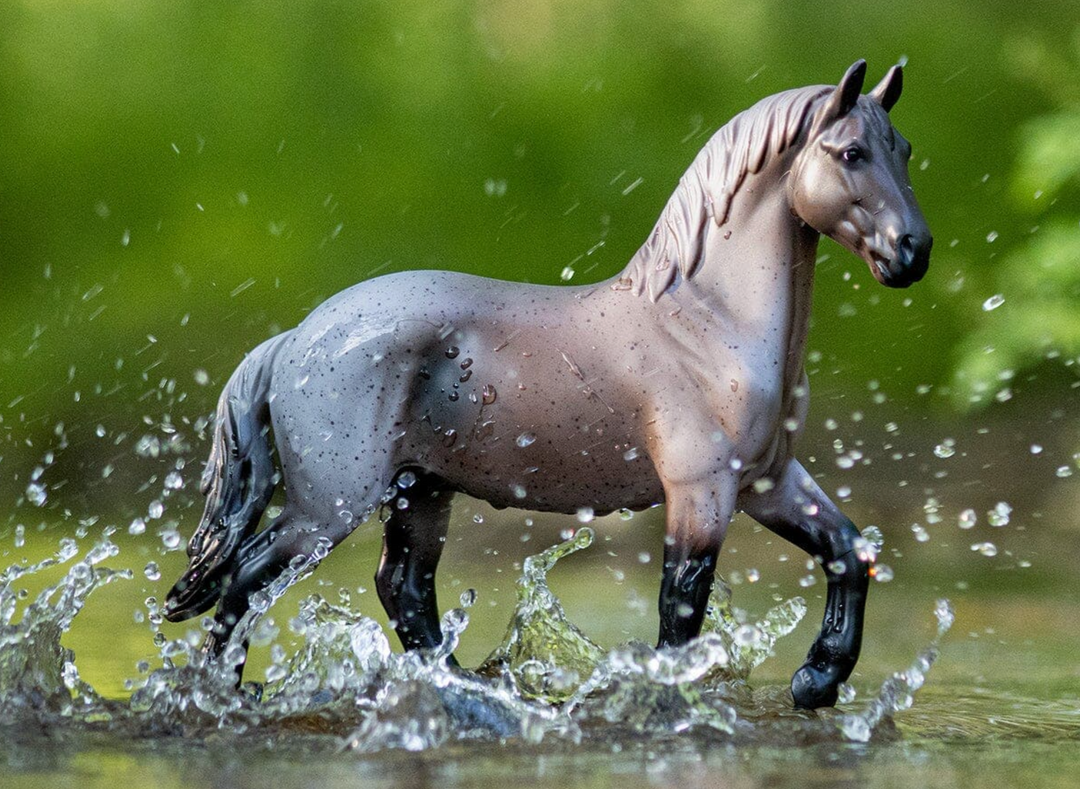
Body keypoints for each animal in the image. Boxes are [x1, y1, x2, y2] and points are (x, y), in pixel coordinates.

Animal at [166, 63, 928, 708]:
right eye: (851, 154)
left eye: (906, 150)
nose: (912, 251)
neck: (706, 323)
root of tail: (295, 339)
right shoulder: (702, 492)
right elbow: (681, 605)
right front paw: (666, 697)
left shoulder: (767, 481)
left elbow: (849, 551)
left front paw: (817, 680)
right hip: (329, 509)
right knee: (247, 577)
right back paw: (227, 695)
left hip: (419, 490)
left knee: (403, 587)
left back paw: (469, 689)